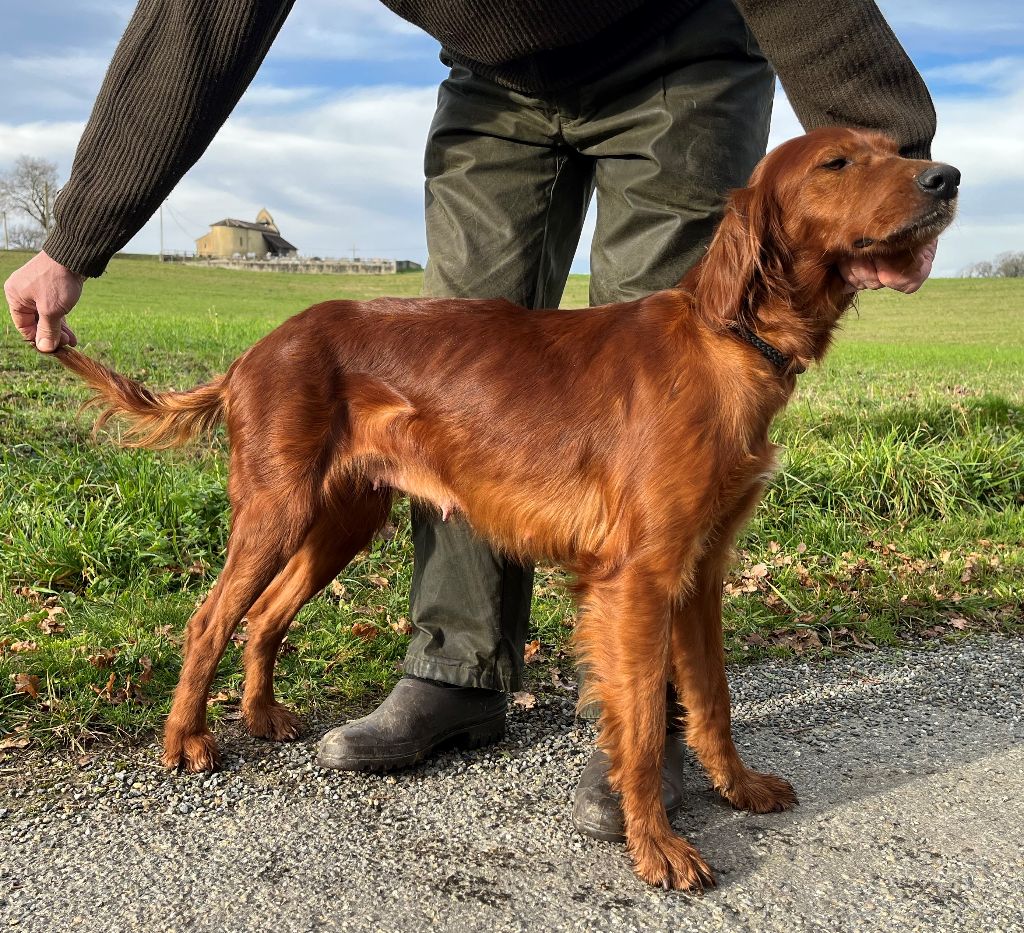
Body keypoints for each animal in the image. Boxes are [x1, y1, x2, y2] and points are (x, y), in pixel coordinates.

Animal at [54, 129, 950, 888]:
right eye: (838, 162)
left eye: (895, 148)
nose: (946, 176)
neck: (726, 339)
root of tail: (256, 350)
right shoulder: (638, 578)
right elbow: (639, 723)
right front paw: (655, 844)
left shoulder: (700, 571)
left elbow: (711, 700)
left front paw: (738, 787)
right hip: (278, 507)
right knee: (210, 617)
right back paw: (188, 739)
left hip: (343, 519)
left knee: (267, 613)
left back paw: (264, 714)